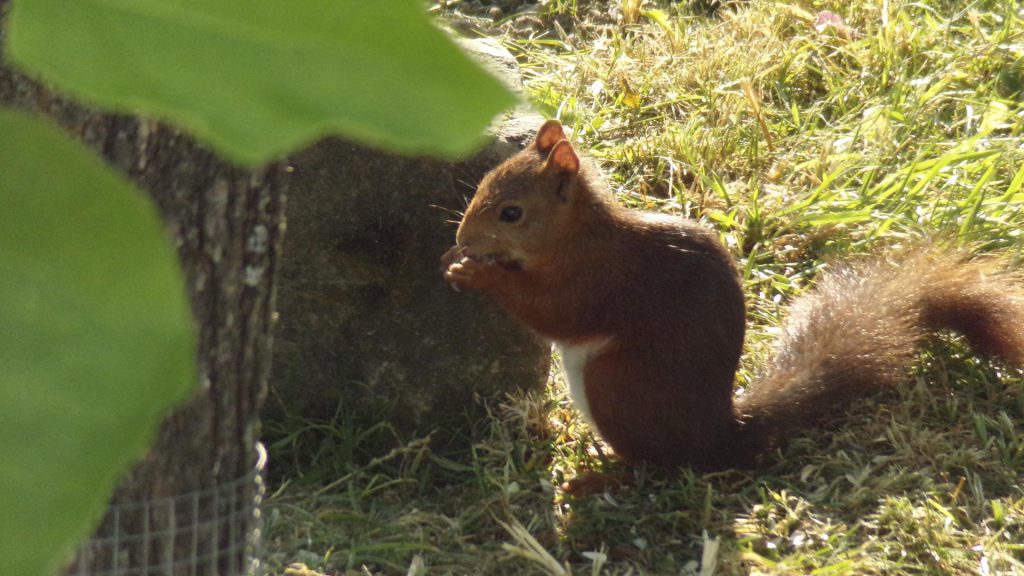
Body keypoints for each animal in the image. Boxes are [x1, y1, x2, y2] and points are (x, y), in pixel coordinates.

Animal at [442, 119, 1024, 480]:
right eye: (484, 182)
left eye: (511, 213)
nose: (464, 240)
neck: (577, 235)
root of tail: (722, 436)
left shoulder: (596, 282)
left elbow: (552, 313)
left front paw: (474, 274)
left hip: (615, 386)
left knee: (657, 465)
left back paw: (600, 480)